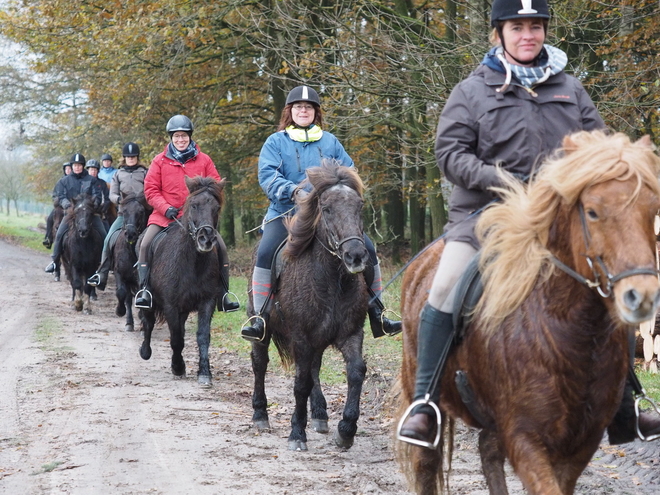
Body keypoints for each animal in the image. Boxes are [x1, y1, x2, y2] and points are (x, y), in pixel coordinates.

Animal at [113, 194, 150, 334]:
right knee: (128, 298)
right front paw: (120, 311)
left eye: (141, 212)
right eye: (124, 211)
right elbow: (121, 293)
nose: (130, 234)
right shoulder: (119, 273)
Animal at [138, 176, 226, 386]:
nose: (206, 238)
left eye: (216, 207)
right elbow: (176, 338)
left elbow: (202, 336)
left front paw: (204, 373)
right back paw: (145, 351)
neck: (193, 262)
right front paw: (178, 367)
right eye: (194, 205)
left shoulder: (207, 302)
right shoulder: (170, 305)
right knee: (148, 322)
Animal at [394, 131, 660, 495]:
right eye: (592, 212)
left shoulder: (580, 444)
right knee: (426, 463)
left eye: (652, 210)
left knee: (488, 451)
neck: (572, 333)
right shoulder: (526, 439)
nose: (642, 295)